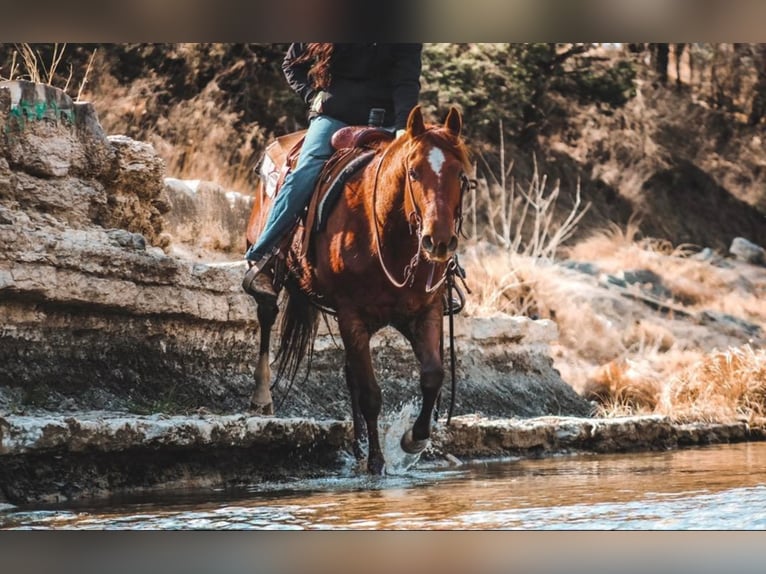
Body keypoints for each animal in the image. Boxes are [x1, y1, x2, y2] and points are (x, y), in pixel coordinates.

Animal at [246, 106, 474, 474]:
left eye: (460, 175)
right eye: (413, 172)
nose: (438, 241)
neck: (388, 234)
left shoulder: (425, 311)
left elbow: (432, 376)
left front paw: (413, 439)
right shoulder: (351, 315)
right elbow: (371, 394)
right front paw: (377, 462)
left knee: (351, 373)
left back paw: (357, 448)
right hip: (267, 266)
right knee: (267, 312)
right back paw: (262, 396)